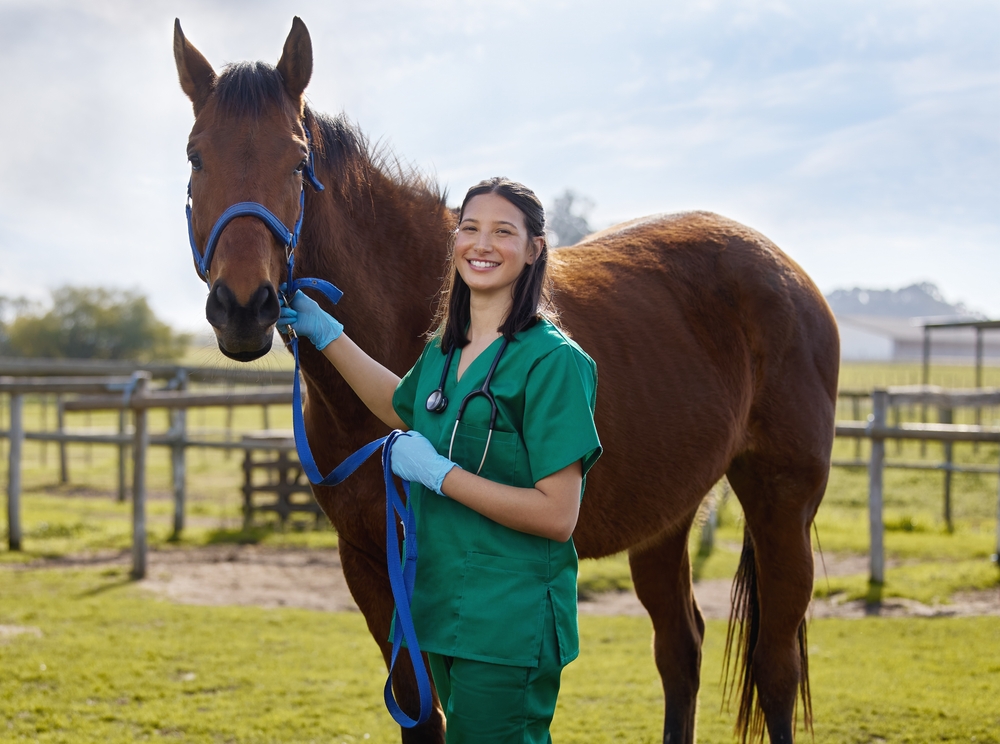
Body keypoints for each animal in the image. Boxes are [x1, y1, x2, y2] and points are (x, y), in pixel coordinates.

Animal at [176, 17, 840, 744]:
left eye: (298, 163)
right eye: (196, 157)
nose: (244, 306)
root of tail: (787, 272)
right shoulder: (369, 565)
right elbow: (419, 715)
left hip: (782, 503)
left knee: (774, 665)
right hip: (666, 517)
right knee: (680, 649)